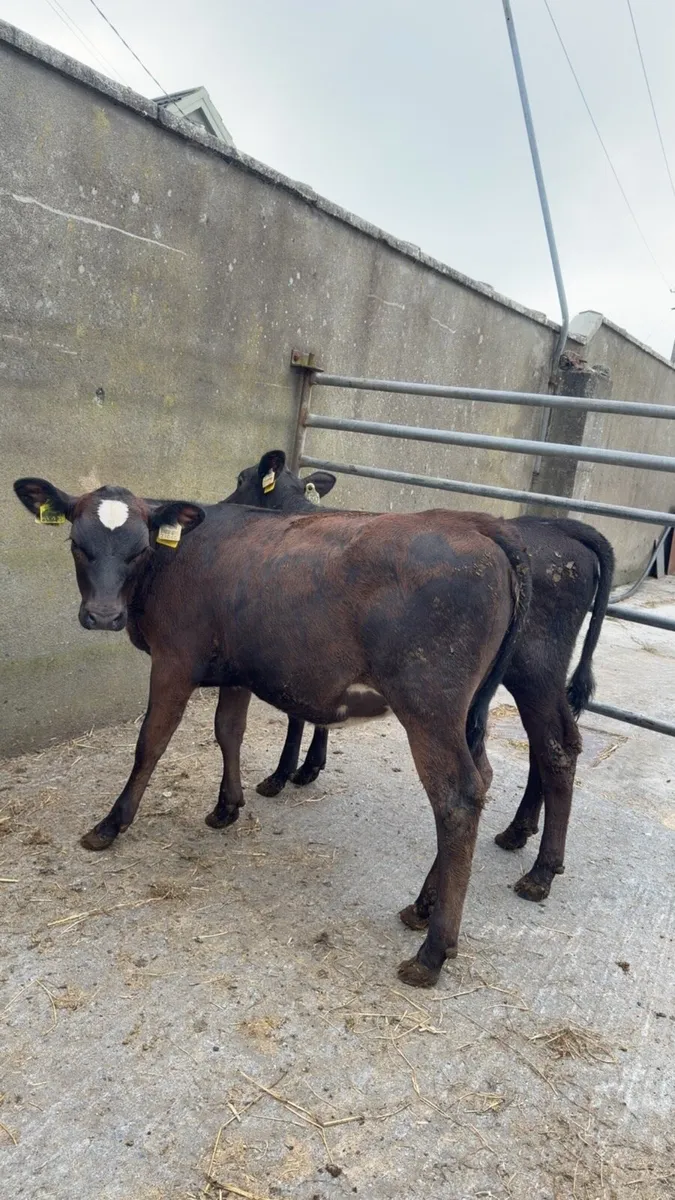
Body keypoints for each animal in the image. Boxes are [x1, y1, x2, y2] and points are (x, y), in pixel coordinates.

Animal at [14, 474, 531, 987]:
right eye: (77, 543)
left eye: (140, 549)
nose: (103, 616)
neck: (175, 559)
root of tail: (478, 526)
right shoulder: (236, 668)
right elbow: (228, 731)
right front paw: (227, 806)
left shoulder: (173, 662)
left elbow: (151, 743)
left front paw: (111, 824)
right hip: (470, 711)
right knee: (481, 780)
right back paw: (423, 905)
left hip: (428, 705)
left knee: (455, 798)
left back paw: (433, 951)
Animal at [225, 450, 615, 914]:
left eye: (241, 478)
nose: (223, 505)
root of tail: (560, 526)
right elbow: (316, 716)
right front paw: (309, 767)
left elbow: (297, 717)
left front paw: (282, 774)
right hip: (524, 678)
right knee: (547, 745)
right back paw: (516, 835)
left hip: (527, 671)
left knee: (549, 750)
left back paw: (538, 872)